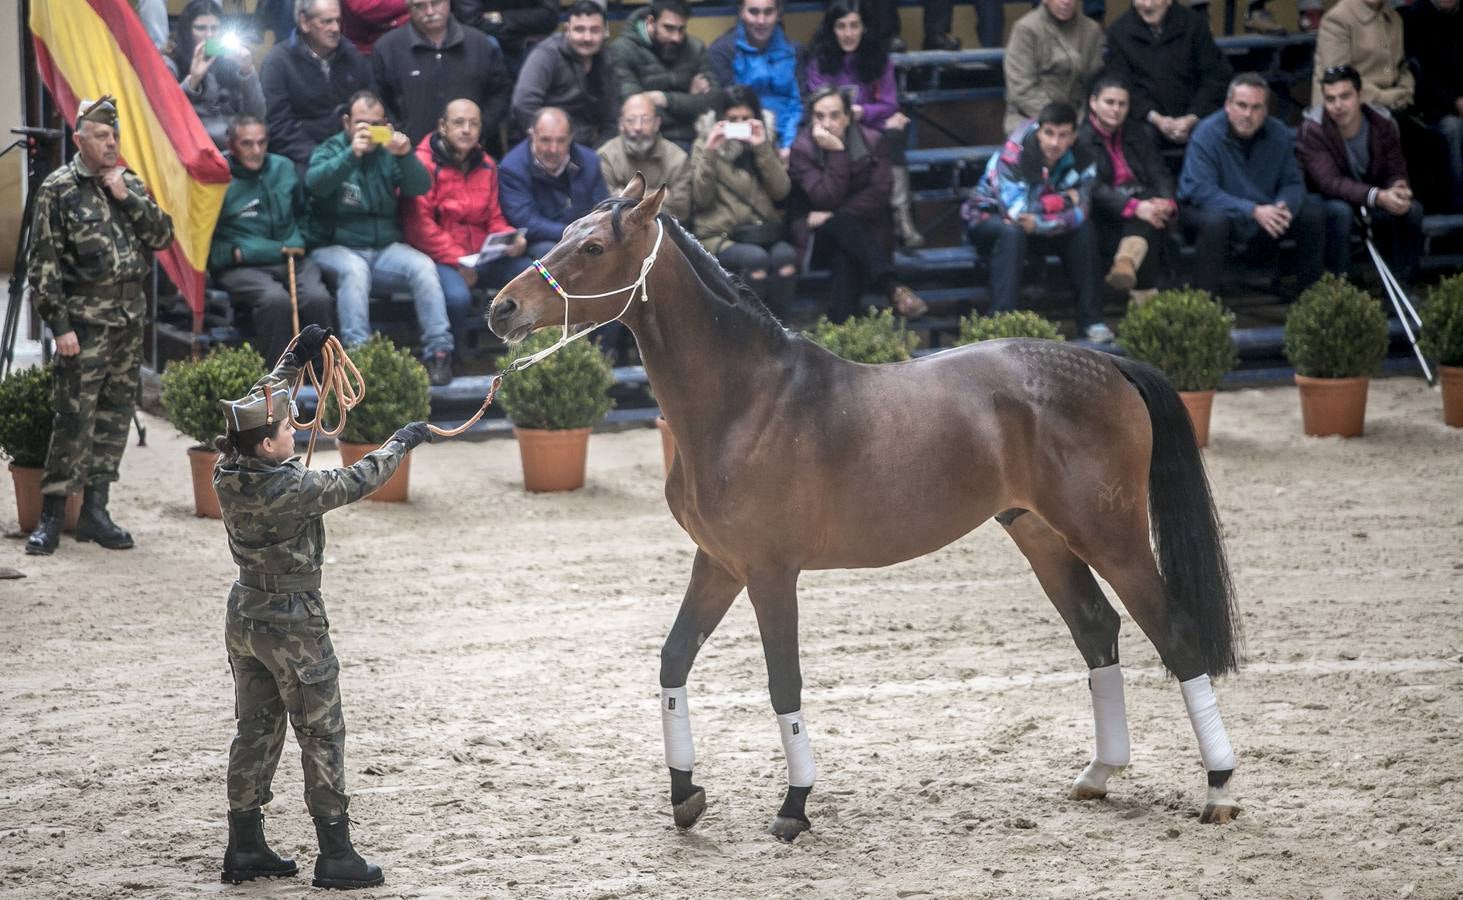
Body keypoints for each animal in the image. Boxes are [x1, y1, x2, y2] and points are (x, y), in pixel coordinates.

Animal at [491, 177, 1246, 842]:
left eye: (592, 247)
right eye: (564, 232)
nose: (502, 309)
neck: (746, 402)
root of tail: (1109, 364)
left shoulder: (770, 574)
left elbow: (783, 682)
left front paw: (794, 808)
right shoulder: (719, 564)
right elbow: (674, 661)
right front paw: (685, 796)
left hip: (1109, 535)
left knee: (1175, 636)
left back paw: (1217, 789)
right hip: (1040, 534)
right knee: (1096, 629)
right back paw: (1099, 773)